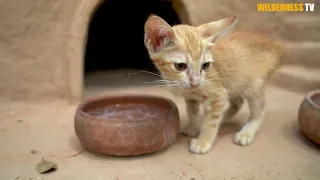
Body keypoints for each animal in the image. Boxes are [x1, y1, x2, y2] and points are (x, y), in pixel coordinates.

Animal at [144, 15, 286, 154]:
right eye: (180, 66)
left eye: (205, 65)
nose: (195, 83)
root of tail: (274, 45)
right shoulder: (192, 98)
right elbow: (192, 113)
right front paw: (193, 127)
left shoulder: (218, 95)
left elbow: (211, 123)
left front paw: (203, 142)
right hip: (234, 82)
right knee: (238, 102)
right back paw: (223, 117)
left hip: (253, 85)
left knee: (259, 110)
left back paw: (246, 132)